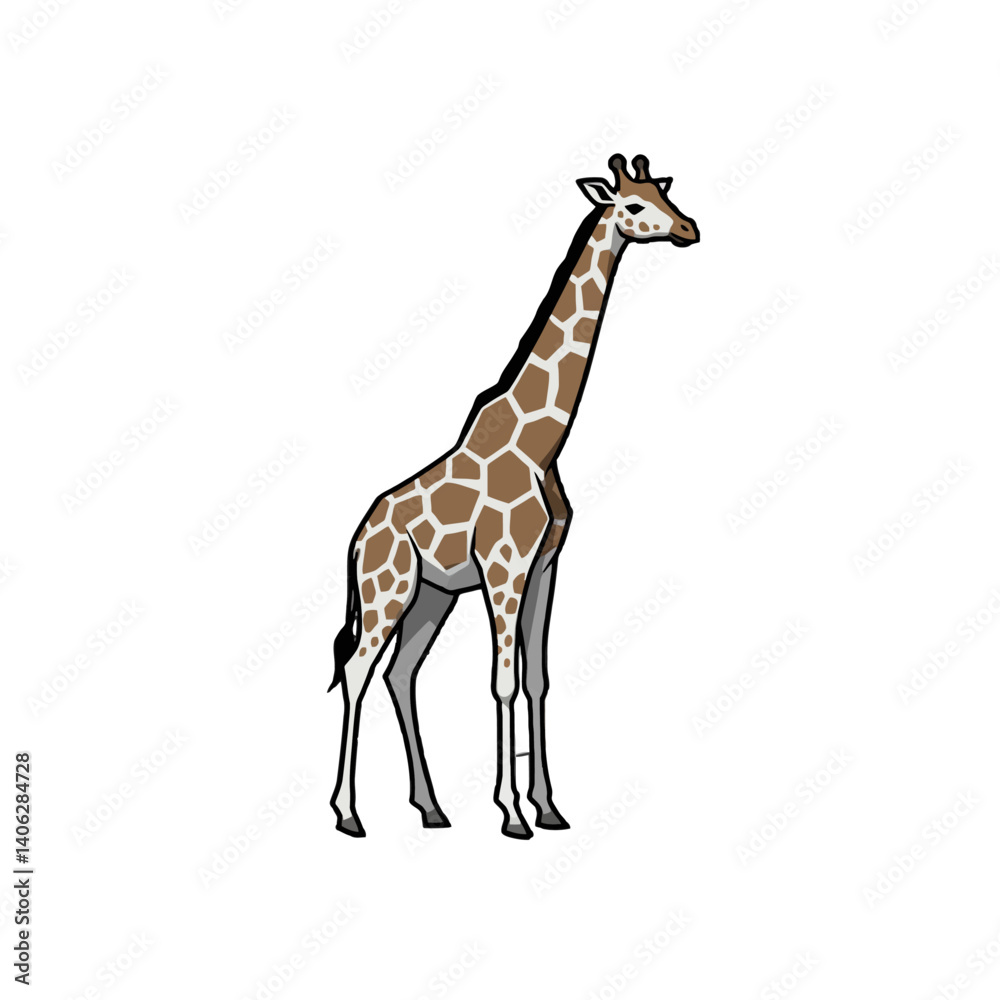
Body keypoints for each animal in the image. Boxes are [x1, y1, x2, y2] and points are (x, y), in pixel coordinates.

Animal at [329, 153, 700, 838]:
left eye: (665, 194)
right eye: (634, 206)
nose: (689, 229)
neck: (543, 442)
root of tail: (359, 535)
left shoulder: (546, 565)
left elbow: (538, 679)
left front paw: (549, 807)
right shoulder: (506, 568)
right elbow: (503, 681)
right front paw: (511, 813)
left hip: (432, 594)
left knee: (401, 673)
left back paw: (432, 808)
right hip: (386, 589)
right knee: (357, 670)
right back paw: (348, 813)